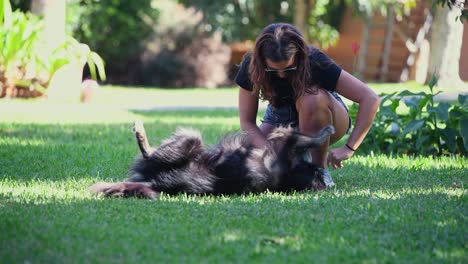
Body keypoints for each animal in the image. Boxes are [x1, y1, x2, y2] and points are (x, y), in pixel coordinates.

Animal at [90, 119, 332, 198]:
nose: (325, 179)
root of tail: (156, 183)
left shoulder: (287, 146)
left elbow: (306, 138)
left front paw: (325, 133)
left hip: (191, 141)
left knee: (149, 151)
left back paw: (140, 131)